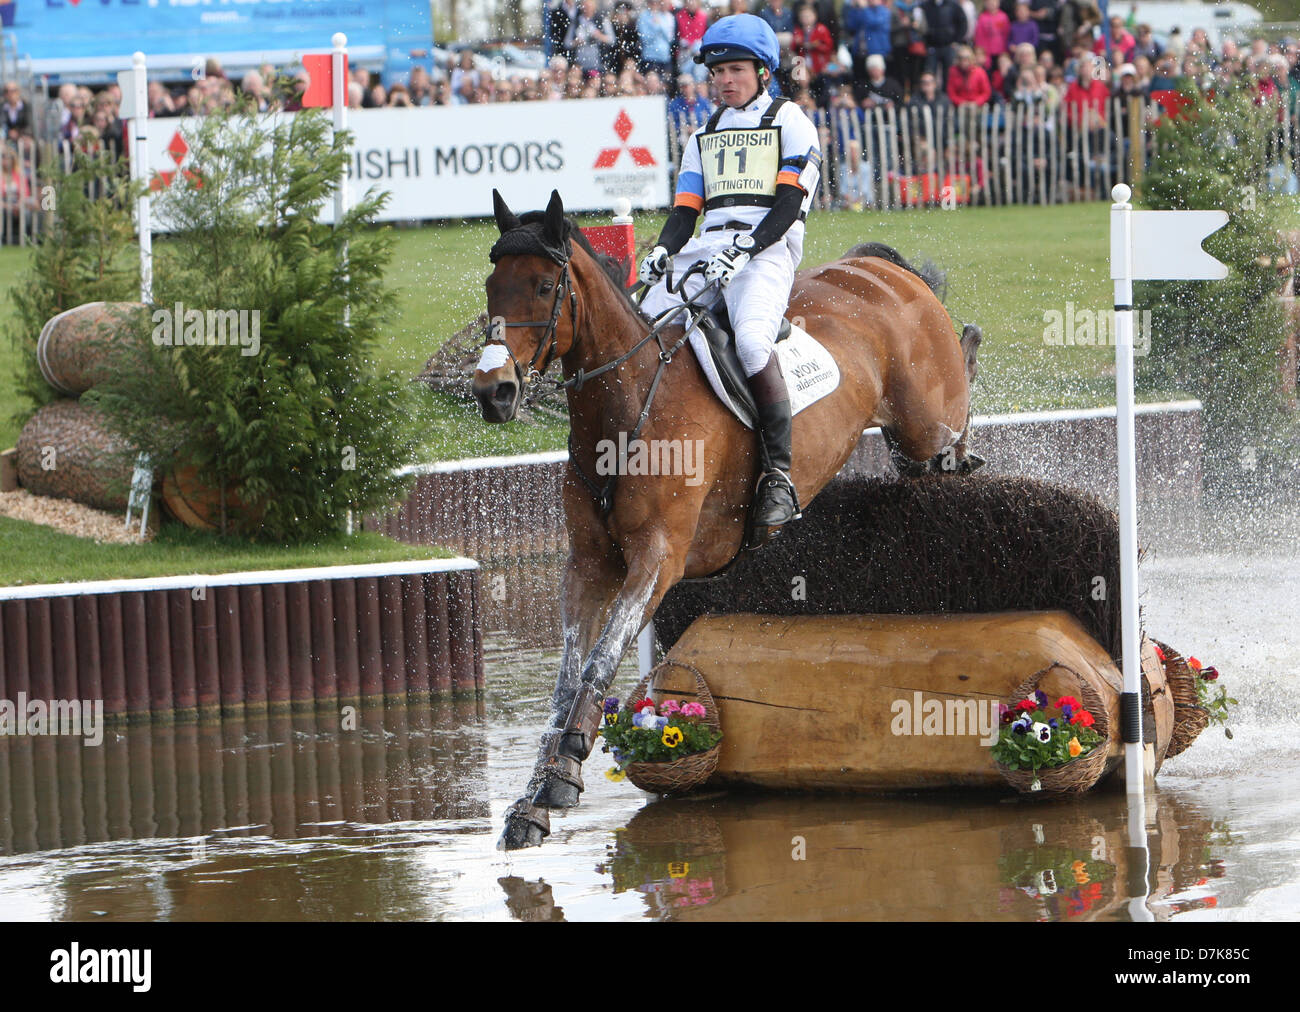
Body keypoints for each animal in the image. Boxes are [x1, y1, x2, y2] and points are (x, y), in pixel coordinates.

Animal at [473, 187, 977, 842]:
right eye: (492, 285)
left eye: (540, 286)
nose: (493, 391)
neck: (627, 405)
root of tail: (879, 269)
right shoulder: (588, 564)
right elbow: (567, 676)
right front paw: (530, 803)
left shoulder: (658, 559)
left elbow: (600, 662)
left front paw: (563, 776)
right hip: (906, 441)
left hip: (924, 427)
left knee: (954, 416)